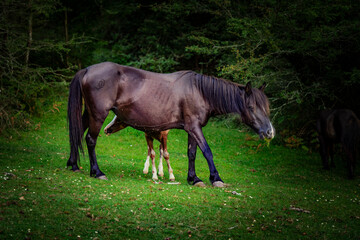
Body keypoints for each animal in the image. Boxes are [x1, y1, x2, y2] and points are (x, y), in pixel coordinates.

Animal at [68, 61, 276, 187]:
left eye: (267, 107)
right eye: (251, 106)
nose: (270, 132)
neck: (200, 91)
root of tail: (88, 70)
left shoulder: (192, 129)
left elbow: (192, 153)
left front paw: (194, 178)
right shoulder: (194, 127)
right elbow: (207, 151)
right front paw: (215, 178)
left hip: (89, 114)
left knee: (77, 133)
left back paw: (73, 164)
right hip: (98, 115)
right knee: (90, 139)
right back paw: (97, 172)